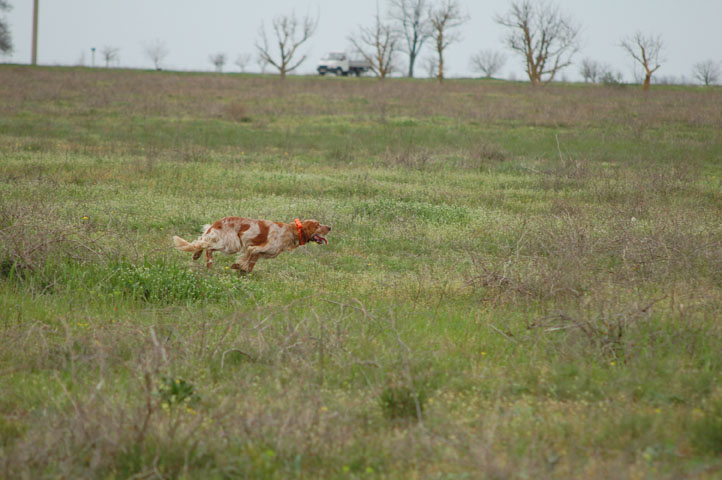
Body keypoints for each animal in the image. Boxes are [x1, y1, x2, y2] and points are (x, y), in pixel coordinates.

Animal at [173, 218, 330, 274]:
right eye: (318, 225)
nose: (330, 227)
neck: (291, 231)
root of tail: (217, 223)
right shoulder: (254, 248)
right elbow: (247, 263)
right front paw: (238, 267)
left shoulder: (256, 252)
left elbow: (249, 264)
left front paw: (240, 268)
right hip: (232, 244)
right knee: (208, 247)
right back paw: (209, 264)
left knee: (201, 240)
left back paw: (196, 255)